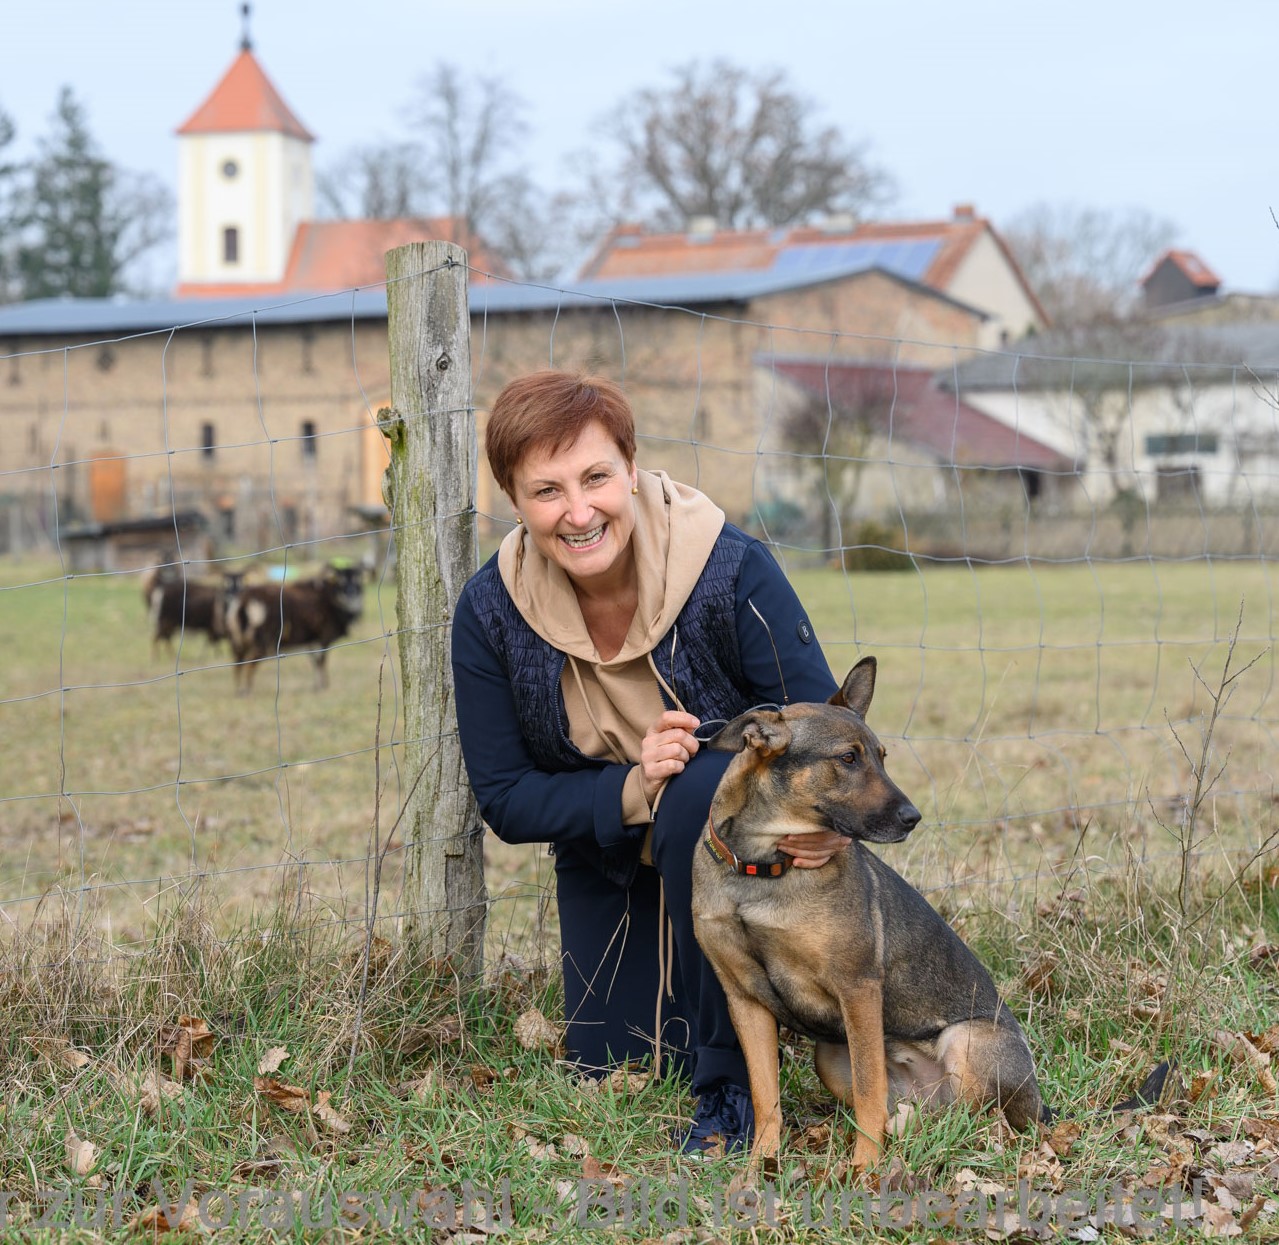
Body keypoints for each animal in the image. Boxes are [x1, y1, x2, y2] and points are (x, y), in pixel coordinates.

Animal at [223, 560, 365, 690]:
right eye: (341, 581)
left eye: (358, 579)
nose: (351, 593)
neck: (331, 601)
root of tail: (244, 602)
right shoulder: (323, 638)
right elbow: (321, 662)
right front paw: (323, 686)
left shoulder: (311, 642)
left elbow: (315, 662)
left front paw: (316, 686)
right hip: (262, 642)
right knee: (250, 664)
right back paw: (246, 691)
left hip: (237, 640)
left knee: (238, 663)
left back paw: (238, 690)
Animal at [690, 655, 1048, 1172]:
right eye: (847, 758)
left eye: (882, 756)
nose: (913, 818)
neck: (761, 868)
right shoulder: (745, 1000)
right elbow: (765, 1095)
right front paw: (760, 1166)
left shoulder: (857, 988)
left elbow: (868, 1094)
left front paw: (863, 1170)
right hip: (830, 1056)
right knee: (919, 1112)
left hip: (967, 1043)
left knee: (975, 1119)